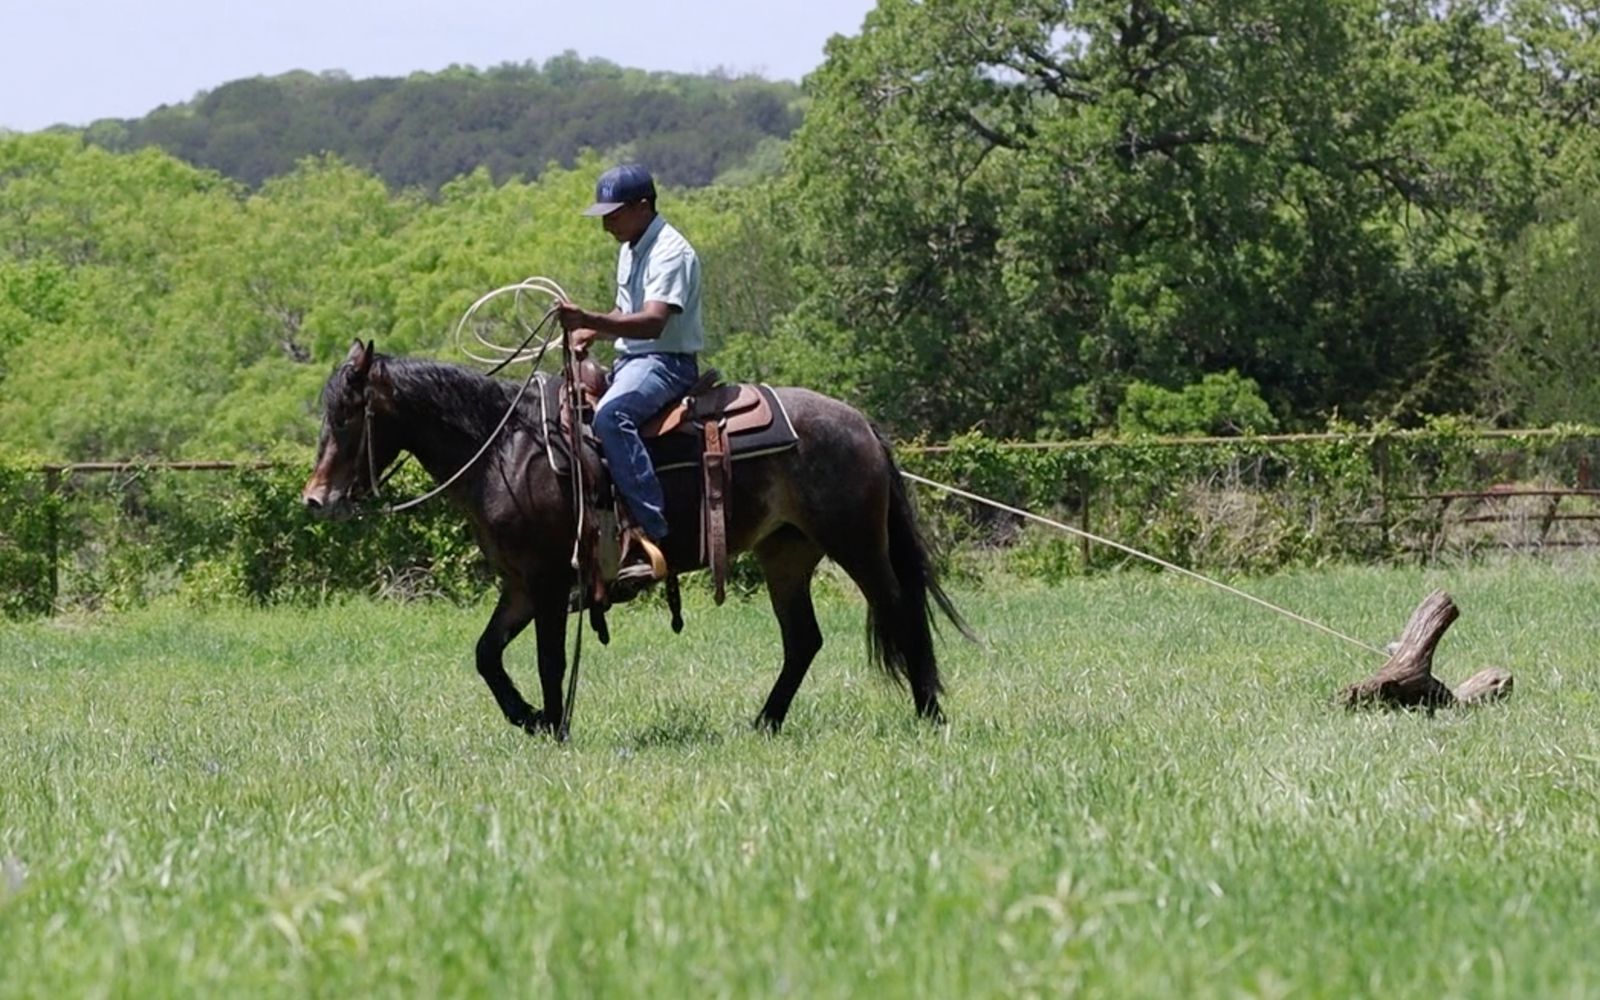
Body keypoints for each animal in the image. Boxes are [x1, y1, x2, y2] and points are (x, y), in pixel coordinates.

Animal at [301, 339, 971, 737]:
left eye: (347, 416)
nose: (315, 499)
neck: (506, 451)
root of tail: (861, 423)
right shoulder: (519, 586)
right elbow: (487, 655)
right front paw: (529, 719)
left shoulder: (549, 582)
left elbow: (547, 660)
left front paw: (554, 726)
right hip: (786, 554)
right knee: (803, 640)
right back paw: (764, 722)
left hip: (856, 544)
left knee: (901, 610)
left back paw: (929, 715)